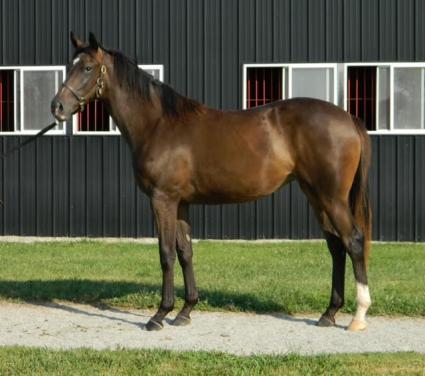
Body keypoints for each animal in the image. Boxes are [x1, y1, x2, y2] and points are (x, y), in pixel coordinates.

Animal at [51, 33, 372, 332]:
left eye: (88, 68)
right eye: (69, 66)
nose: (58, 107)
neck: (158, 124)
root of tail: (349, 119)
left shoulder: (162, 199)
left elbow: (166, 254)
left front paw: (159, 315)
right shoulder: (181, 203)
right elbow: (185, 252)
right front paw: (185, 311)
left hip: (331, 197)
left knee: (353, 242)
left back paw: (358, 316)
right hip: (315, 195)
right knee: (336, 247)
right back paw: (329, 314)